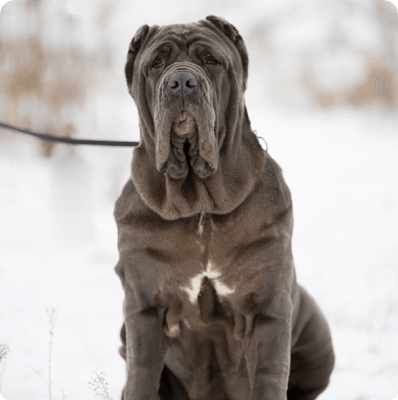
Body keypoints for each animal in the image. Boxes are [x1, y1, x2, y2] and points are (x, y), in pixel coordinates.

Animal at [113, 15, 334, 400]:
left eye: (211, 60)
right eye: (155, 64)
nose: (181, 82)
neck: (199, 207)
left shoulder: (266, 309)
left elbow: (269, 375)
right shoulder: (143, 307)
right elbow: (142, 374)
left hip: (320, 337)